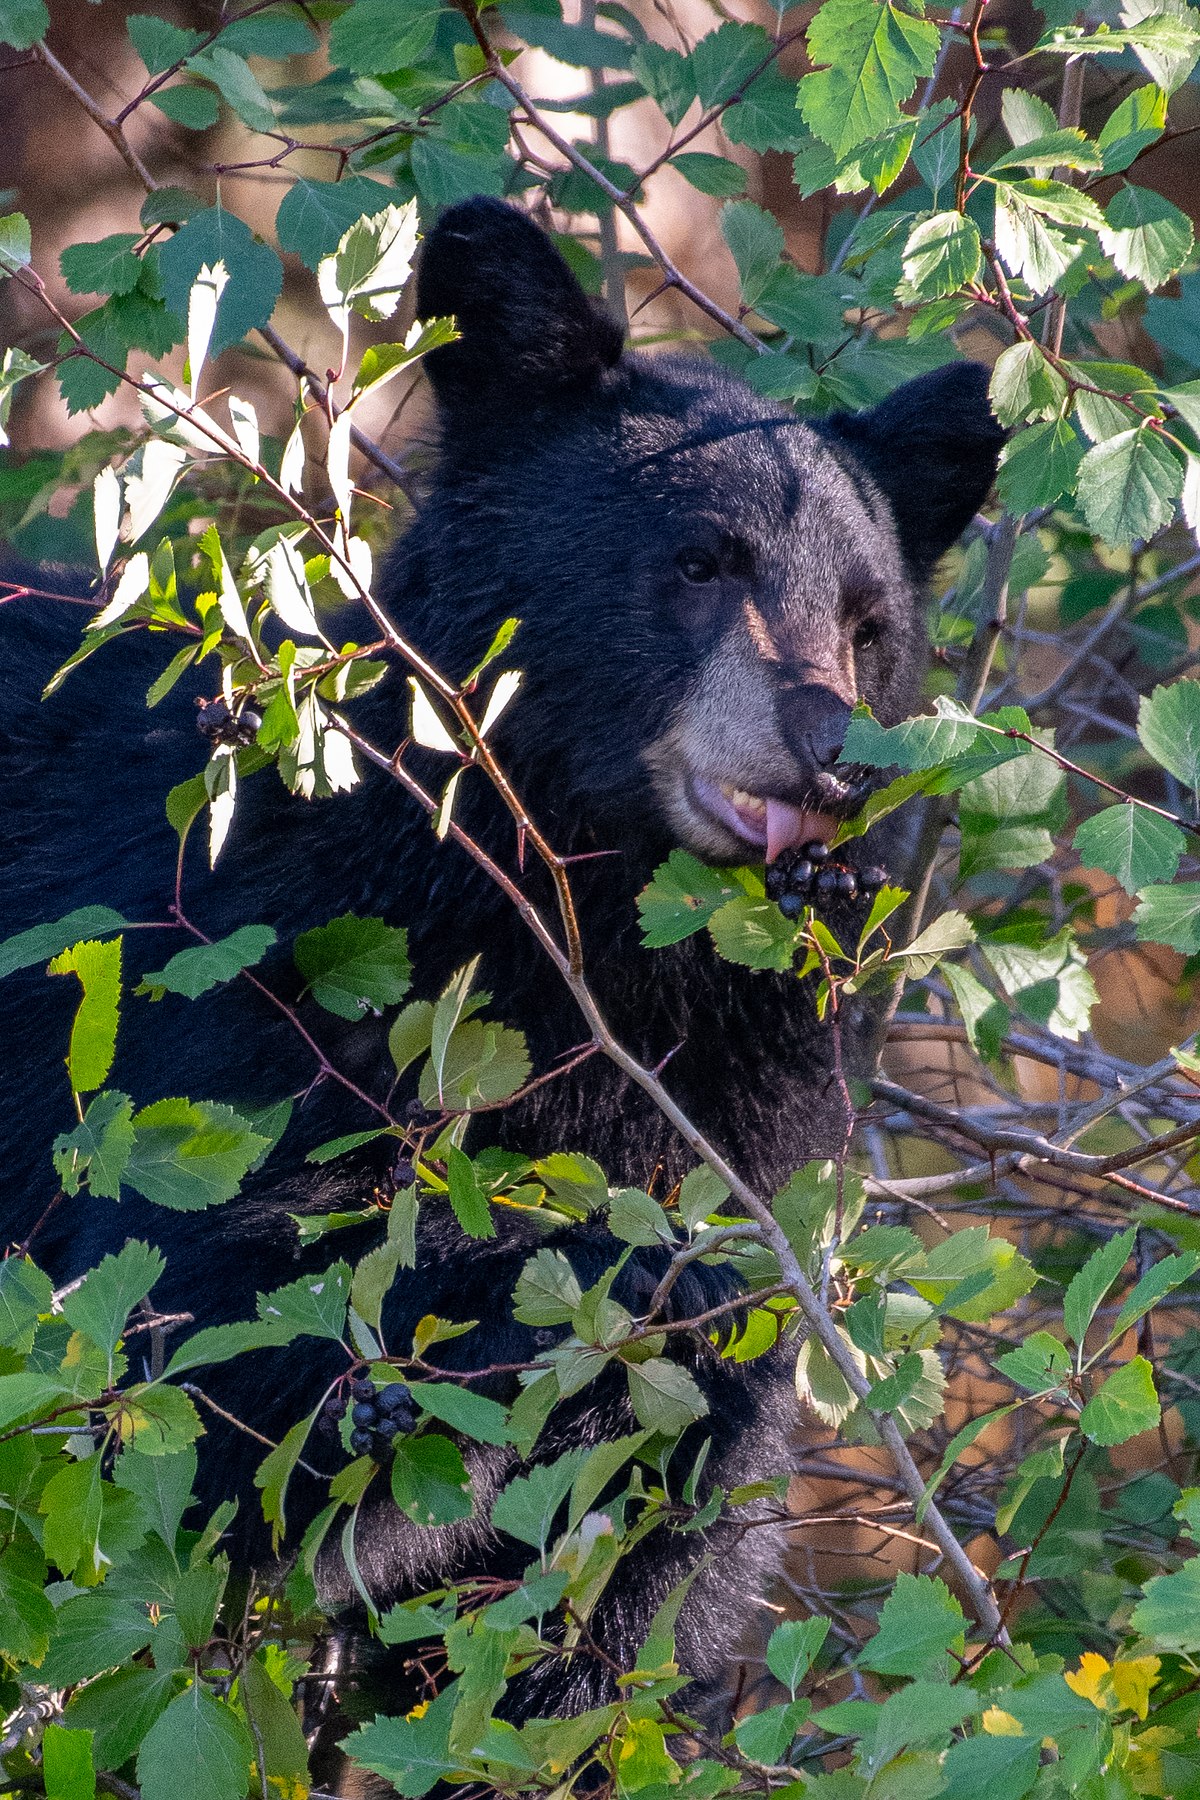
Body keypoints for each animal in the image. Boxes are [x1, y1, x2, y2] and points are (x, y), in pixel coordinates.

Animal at [0, 197, 1003, 1756]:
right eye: (702, 562)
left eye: (866, 618)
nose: (833, 753)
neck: (588, 938)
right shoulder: (235, 994)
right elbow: (187, 1312)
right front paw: (602, 1283)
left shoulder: (751, 1100)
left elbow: (638, 1585)